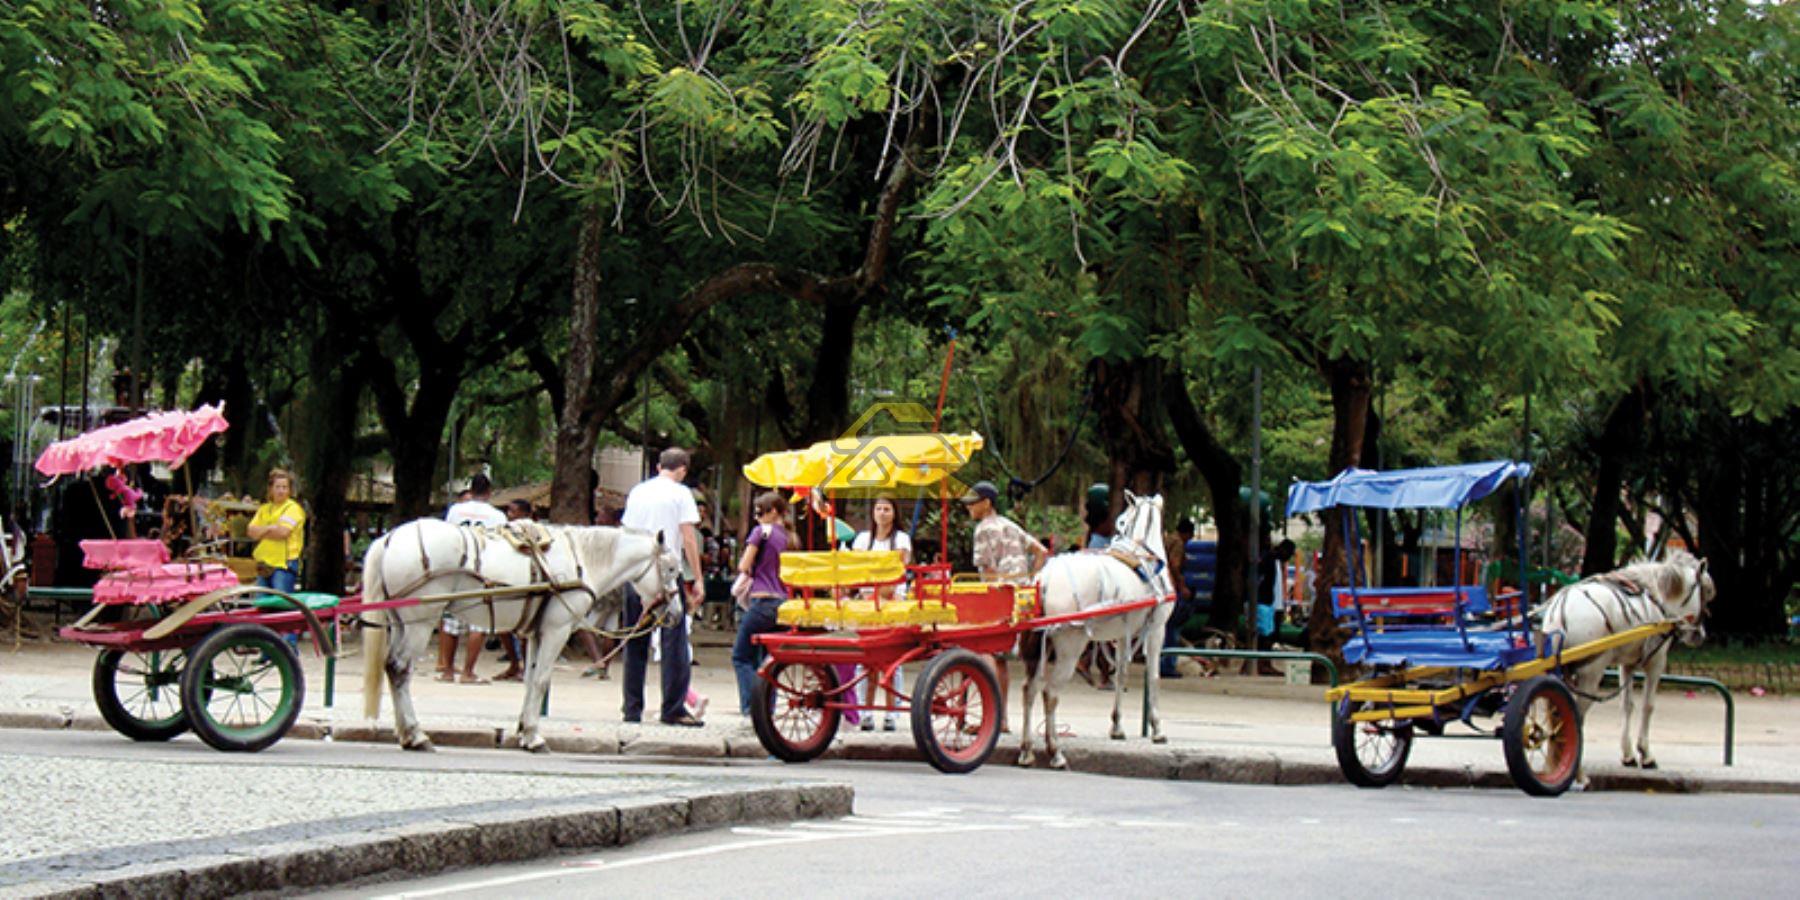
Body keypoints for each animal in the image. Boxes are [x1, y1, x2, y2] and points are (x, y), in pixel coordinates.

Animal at [358, 522, 680, 752]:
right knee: (400, 669)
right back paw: (416, 735)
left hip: (402, 623)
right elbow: (541, 681)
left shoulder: (538, 633)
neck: (581, 561)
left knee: (392, 668)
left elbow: (530, 680)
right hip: (421, 623)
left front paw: (525, 731)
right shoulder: (557, 630)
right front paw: (535, 738)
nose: (676, 614)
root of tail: (388, 539)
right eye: (671, 569)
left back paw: (405, 733)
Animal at [1022, 493, 1173, 766]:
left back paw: (1027, 750)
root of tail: (1045, 578)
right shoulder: (1157, 629)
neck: (1145, 553)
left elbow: (1121, 674)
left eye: (1122, 520)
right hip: (1069, 646)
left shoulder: (1123, 635)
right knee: (1050, 693)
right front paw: (1157, 729)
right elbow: (1154, 677)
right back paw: (1055, 750)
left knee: (1030, 689)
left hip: (1042, 646)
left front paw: (1117, 726)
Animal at [1533, 547, 1713, 781]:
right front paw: (1645, 754)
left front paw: (1628, 755)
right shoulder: (1656, 661)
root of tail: (1560, 610)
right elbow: (1648, 706)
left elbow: (1627, 705)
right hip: (1591, 674)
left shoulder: (1626, 665)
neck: (1657, 601)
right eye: (1705, 593)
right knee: (1575, 718)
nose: (1699, 636)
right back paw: (1578, 772)